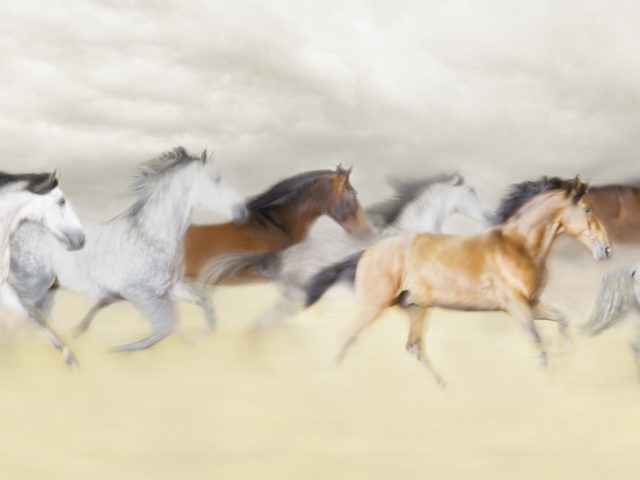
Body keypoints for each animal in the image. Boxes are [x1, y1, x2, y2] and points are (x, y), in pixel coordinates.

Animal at [9, 147, 246, 352]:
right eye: (216, 179)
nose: (242, 211)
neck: (151, 236)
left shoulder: (169, 289)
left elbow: (204, 304)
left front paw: (200, 337)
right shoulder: (136, 292)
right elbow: (166, 325)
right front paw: (119, 349)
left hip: (49, 290)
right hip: (35, 284)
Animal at [304, 176, 611, 386]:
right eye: (587, 210)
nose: (607, 249)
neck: (519, 245)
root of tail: (367, 252)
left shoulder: (532, 303)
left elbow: (561, 319)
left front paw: (568, 357)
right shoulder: (515, 305)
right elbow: (538, 343)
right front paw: (553, 382)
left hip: (415, 308)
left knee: (413, 347)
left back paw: (445, 389)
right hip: (373, 306)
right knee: (347, 338)